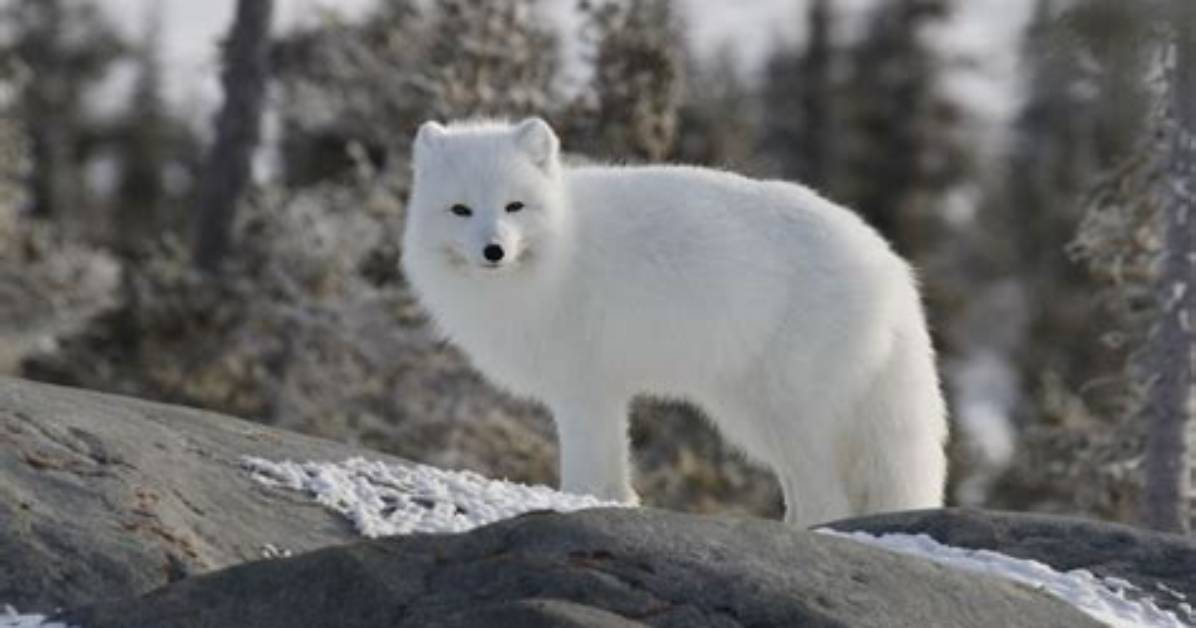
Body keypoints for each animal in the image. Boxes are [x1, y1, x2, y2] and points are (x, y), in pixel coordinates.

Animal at [401, 117, 948, 527]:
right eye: (460, 210)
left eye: (514, 206)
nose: (493, 250)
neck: (562, 249)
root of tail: (890, 263)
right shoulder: (598, 391)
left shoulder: (585, 389)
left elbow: (587, 469)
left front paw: (577, 505)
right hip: (756, 413)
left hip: (786, 410)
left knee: (829, 498)